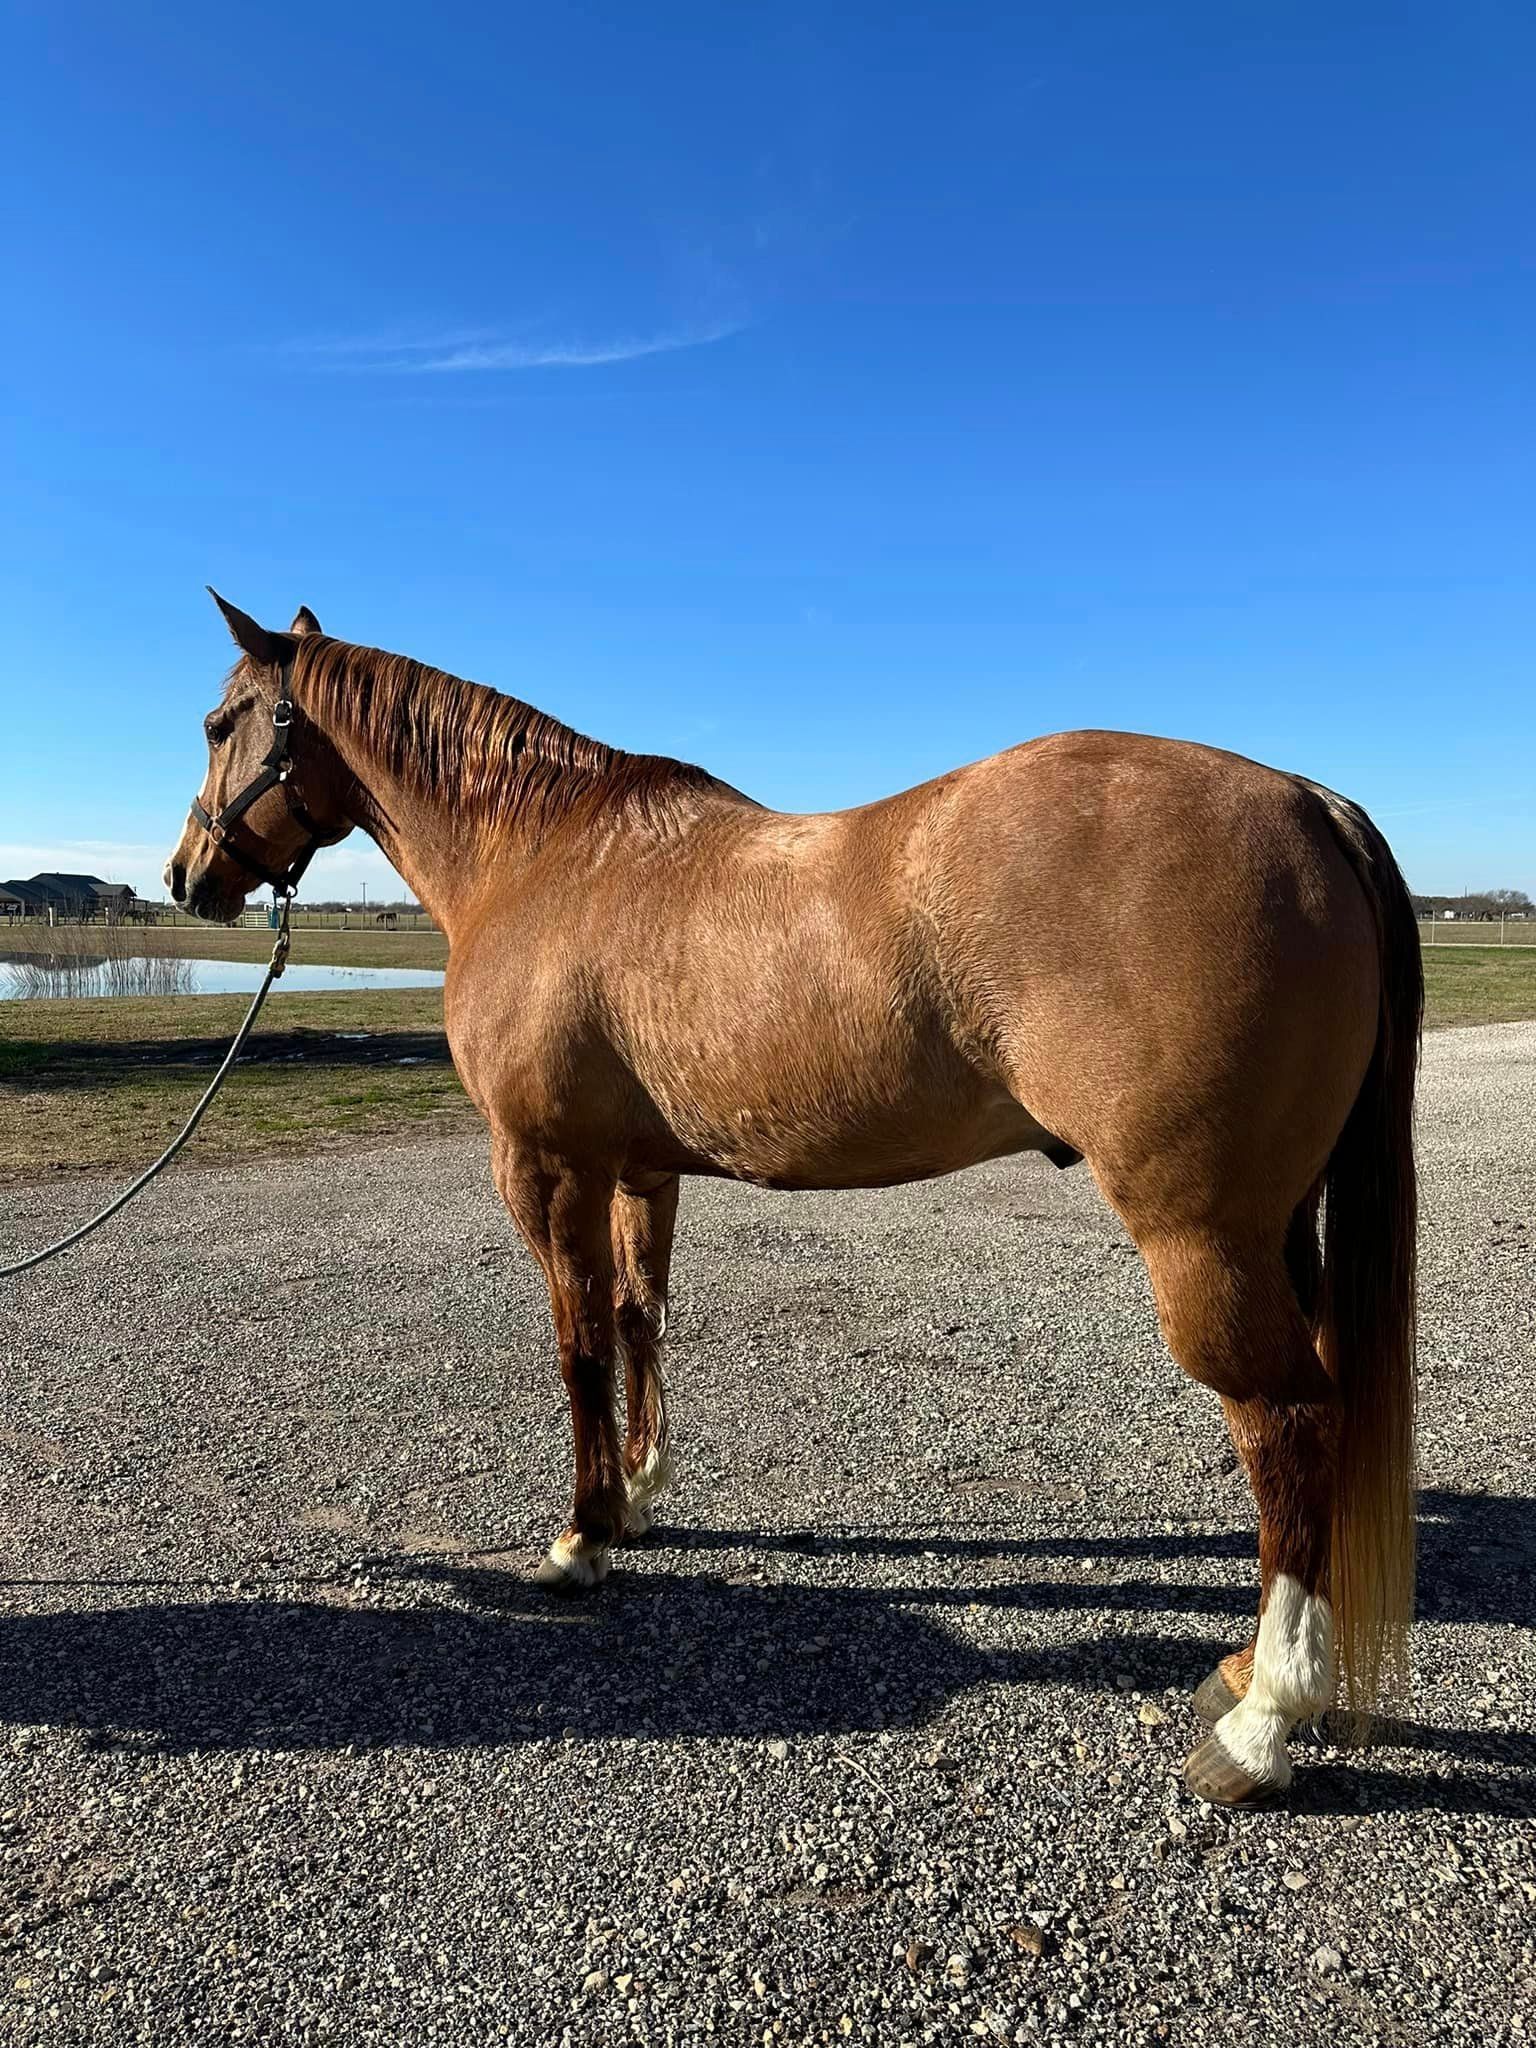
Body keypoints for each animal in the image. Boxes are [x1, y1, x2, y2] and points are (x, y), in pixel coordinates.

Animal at [166, 592, 1420, 1806]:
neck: (542, 857)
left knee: (1287, 1420)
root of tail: (1306, 800)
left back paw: (1263, 1726)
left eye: (222, 723)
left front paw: (583, 1537)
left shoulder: (546, 1164)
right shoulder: (641, 1169)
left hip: (1200, 1237)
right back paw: (1245, 1671)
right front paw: (641, 1492)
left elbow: (578, 1343)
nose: (187, 876)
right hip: (1276, 1226)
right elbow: (637, 1317)